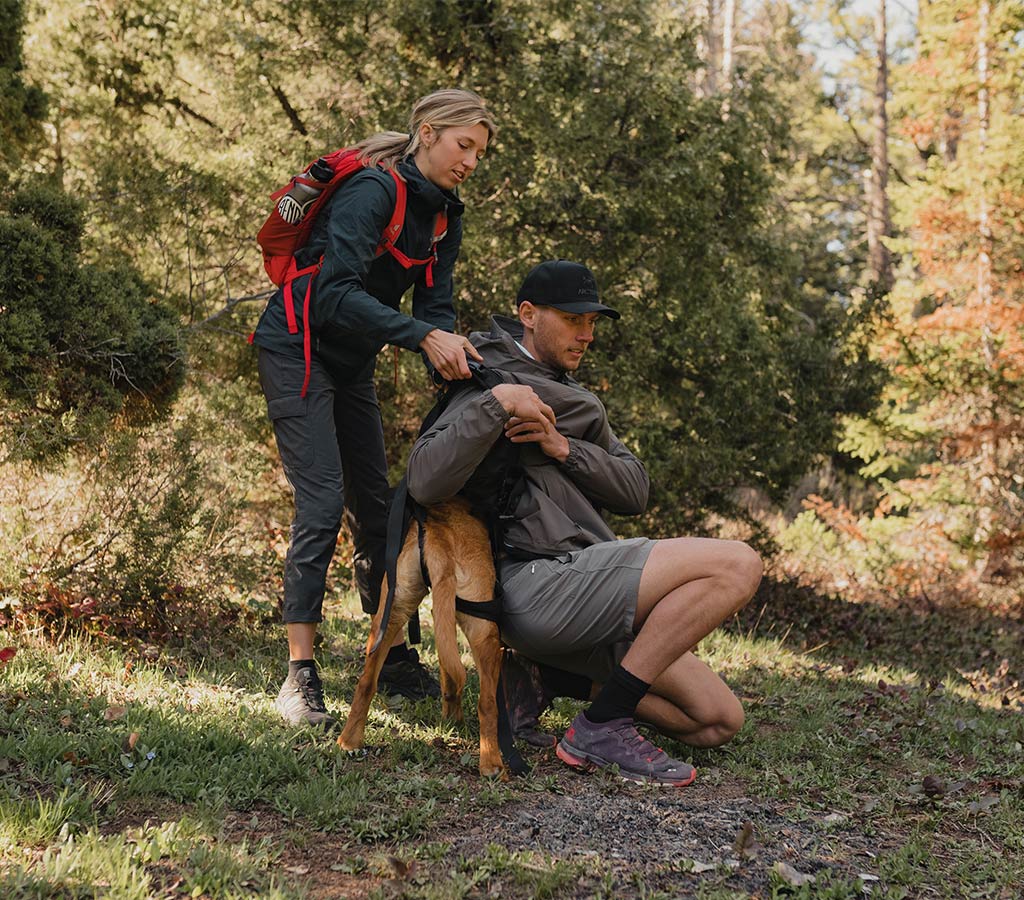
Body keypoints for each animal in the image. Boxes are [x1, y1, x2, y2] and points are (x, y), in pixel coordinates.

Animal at [339, 495, 507, 778]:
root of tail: (439, 531)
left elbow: (448, 677)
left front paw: (452, 719)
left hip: (390, 612)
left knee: (365, 684)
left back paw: (349, 741)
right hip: (485, 632)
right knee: (487, 704)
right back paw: (492, 764)